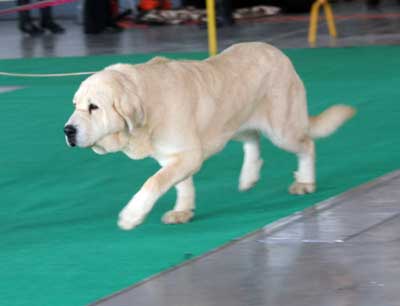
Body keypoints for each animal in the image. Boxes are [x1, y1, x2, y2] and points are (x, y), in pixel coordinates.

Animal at [64, 42, 354, 230]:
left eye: (94, 107)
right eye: (75, 105)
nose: (68, 130)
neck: (146, 102)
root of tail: (281, 54)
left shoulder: (189, 154)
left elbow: (154, 182)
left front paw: (132, 215)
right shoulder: (174, 156)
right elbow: (181, 184)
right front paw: (182, 210)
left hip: (282, 129)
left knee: (307, 144)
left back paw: (305, 181)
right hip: (231, 125)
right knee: (252, 138)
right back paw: (249, 176)